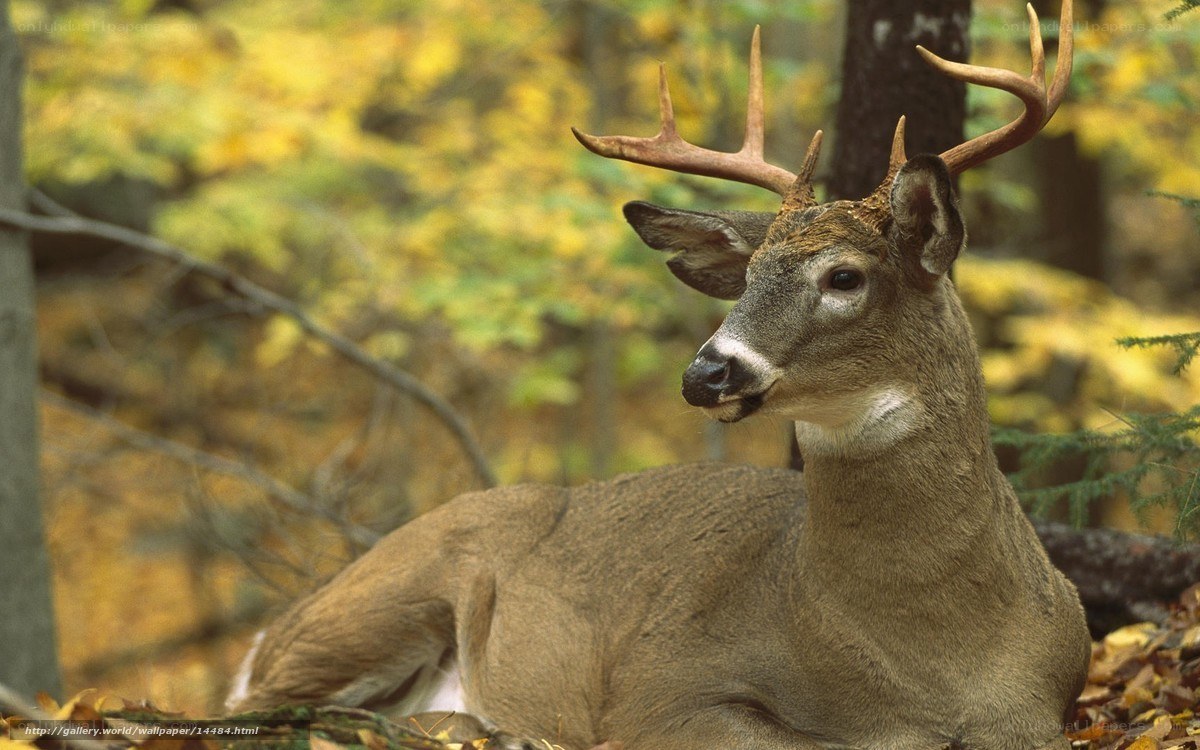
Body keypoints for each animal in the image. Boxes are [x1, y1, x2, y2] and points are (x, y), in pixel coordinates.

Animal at [226, 2, 1090, 748]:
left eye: (844, 277)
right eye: (748, 277)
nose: (707, 371)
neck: (934, 665)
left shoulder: (1047, 708)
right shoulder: (665, 686)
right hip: (382, 597)